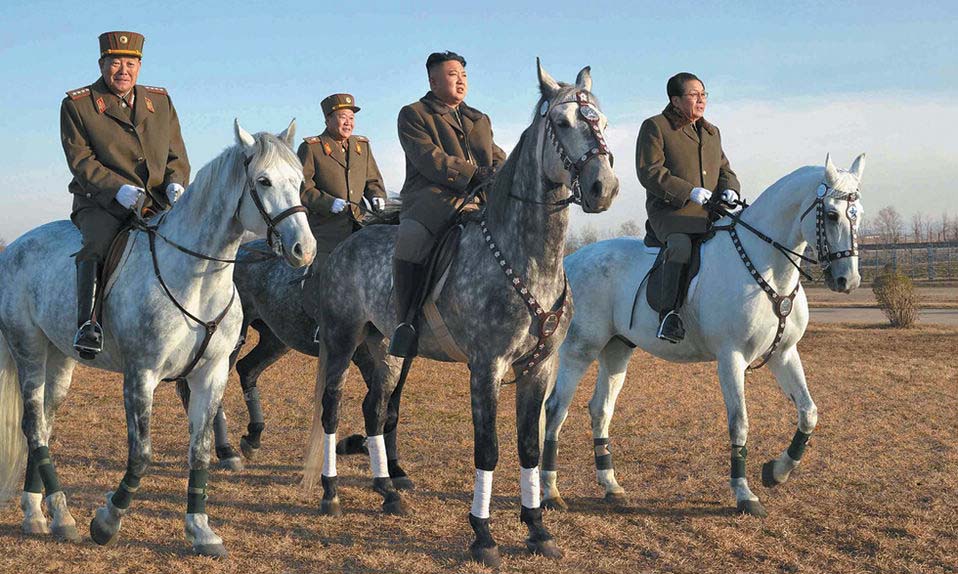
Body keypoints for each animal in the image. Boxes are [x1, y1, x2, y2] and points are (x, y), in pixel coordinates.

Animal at [0, 120, 316, 560]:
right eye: (263, 181)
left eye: (300, 182)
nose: (305, 249)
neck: (198, 279)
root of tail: (14, 247)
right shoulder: (141, 375)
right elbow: (142, 454)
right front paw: (106, 522)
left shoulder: (211, 375)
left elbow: (199, 450)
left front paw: (201, 529)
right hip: (28, 348)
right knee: (32, 424)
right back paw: (57, 515)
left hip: (59, 359)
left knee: (43, 423)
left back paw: (42, 514)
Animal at [304, 62, 624, 568]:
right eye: (563, 122)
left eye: (604, 123)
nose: (603, 188)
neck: (529, 258)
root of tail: (347, 243)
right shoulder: (486, 368)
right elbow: (488, 450)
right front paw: (483, 536)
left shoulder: (540, 367)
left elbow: (529, 447)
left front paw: (537, 529)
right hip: (340, 339)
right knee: (333, 408)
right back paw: (331, 493)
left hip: (388, 349)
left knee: (374, 408)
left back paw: (388, 492)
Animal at [540, 153, 872, 516]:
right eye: (832, 214)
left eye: (859, 214)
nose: (848, 281)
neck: (767, 266)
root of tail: (572, 260)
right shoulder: (731, 358)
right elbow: (739, 421)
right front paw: (744, 493)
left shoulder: (784, 354)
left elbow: (808, 412)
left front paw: (777, 472)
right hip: (580, 350)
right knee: (556, 409)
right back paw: (550, 492)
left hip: (617, 349)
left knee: (600, 409)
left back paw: (611, 486)